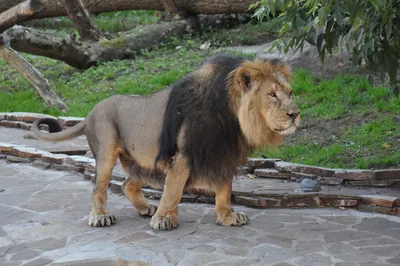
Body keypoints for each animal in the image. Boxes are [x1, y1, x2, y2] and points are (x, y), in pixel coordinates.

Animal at [32, 53, 300, 231]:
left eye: (290, 93)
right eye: (272, 94)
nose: (295, 114)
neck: (232, 119)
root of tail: (88, 114)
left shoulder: (221, 153)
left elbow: (224, 190)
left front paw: (228, 217)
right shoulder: (182, 155)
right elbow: (173, 189)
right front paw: (164, 219)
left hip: (141, 161)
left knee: (127, 184)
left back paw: (144, 208)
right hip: (107, 152)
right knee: (99, 188)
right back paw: (100, 217)